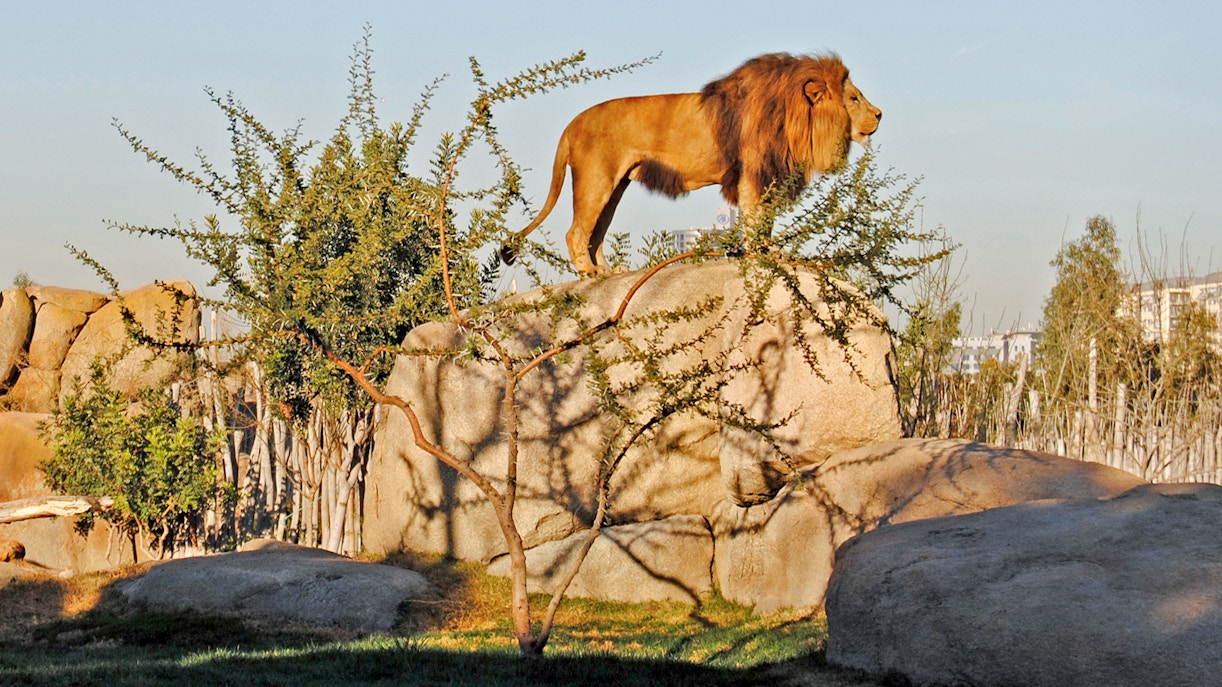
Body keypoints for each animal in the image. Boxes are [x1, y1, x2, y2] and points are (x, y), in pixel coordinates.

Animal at [500, 53, 881, 275]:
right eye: (854, 98)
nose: (880, 114)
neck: (796, 116)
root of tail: (571, 124)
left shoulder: (766, 176)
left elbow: (766, 223)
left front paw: (770, 252)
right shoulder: (752, 176)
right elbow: (756, 221)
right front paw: (760, 256)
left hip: (614, 186)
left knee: (595, 234)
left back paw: (608, 272)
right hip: (595, 180)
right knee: (576, 232)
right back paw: (589, 273)